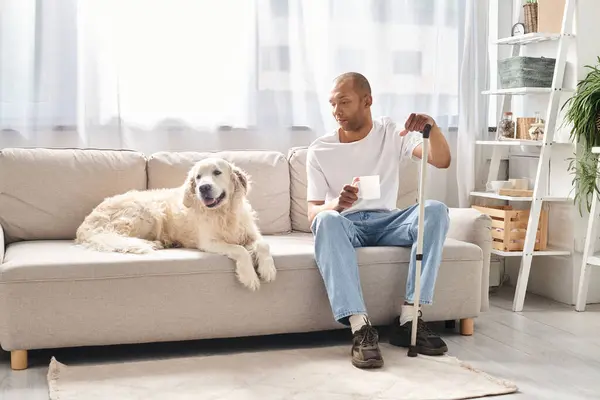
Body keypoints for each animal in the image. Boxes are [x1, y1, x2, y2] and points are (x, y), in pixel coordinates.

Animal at [75, 157, 278, 290]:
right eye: (198, 177)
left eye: (217, 172)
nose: (203, 188)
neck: (224, 213)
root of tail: (85, 225)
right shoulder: (209, 242)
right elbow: (240, 250)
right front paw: (249, 276)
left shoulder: (251, 233)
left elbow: (264, 244)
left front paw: (267, 269)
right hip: (148, 211)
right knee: (122, 237)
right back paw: (153, 243)